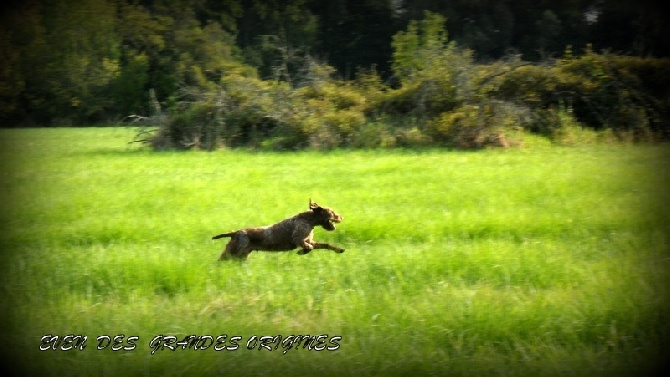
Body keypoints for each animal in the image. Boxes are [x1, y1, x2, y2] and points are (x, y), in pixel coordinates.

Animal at [213, 200, 346, 258]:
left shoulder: (309, 241)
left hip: (241, 256)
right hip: (232, 253)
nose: (342, 217)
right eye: (333, 212)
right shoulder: (299, 239)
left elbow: (327, 245)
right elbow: (309, 247)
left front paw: (339, 249)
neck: (309, 219)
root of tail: (235, 233)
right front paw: (301, 252)